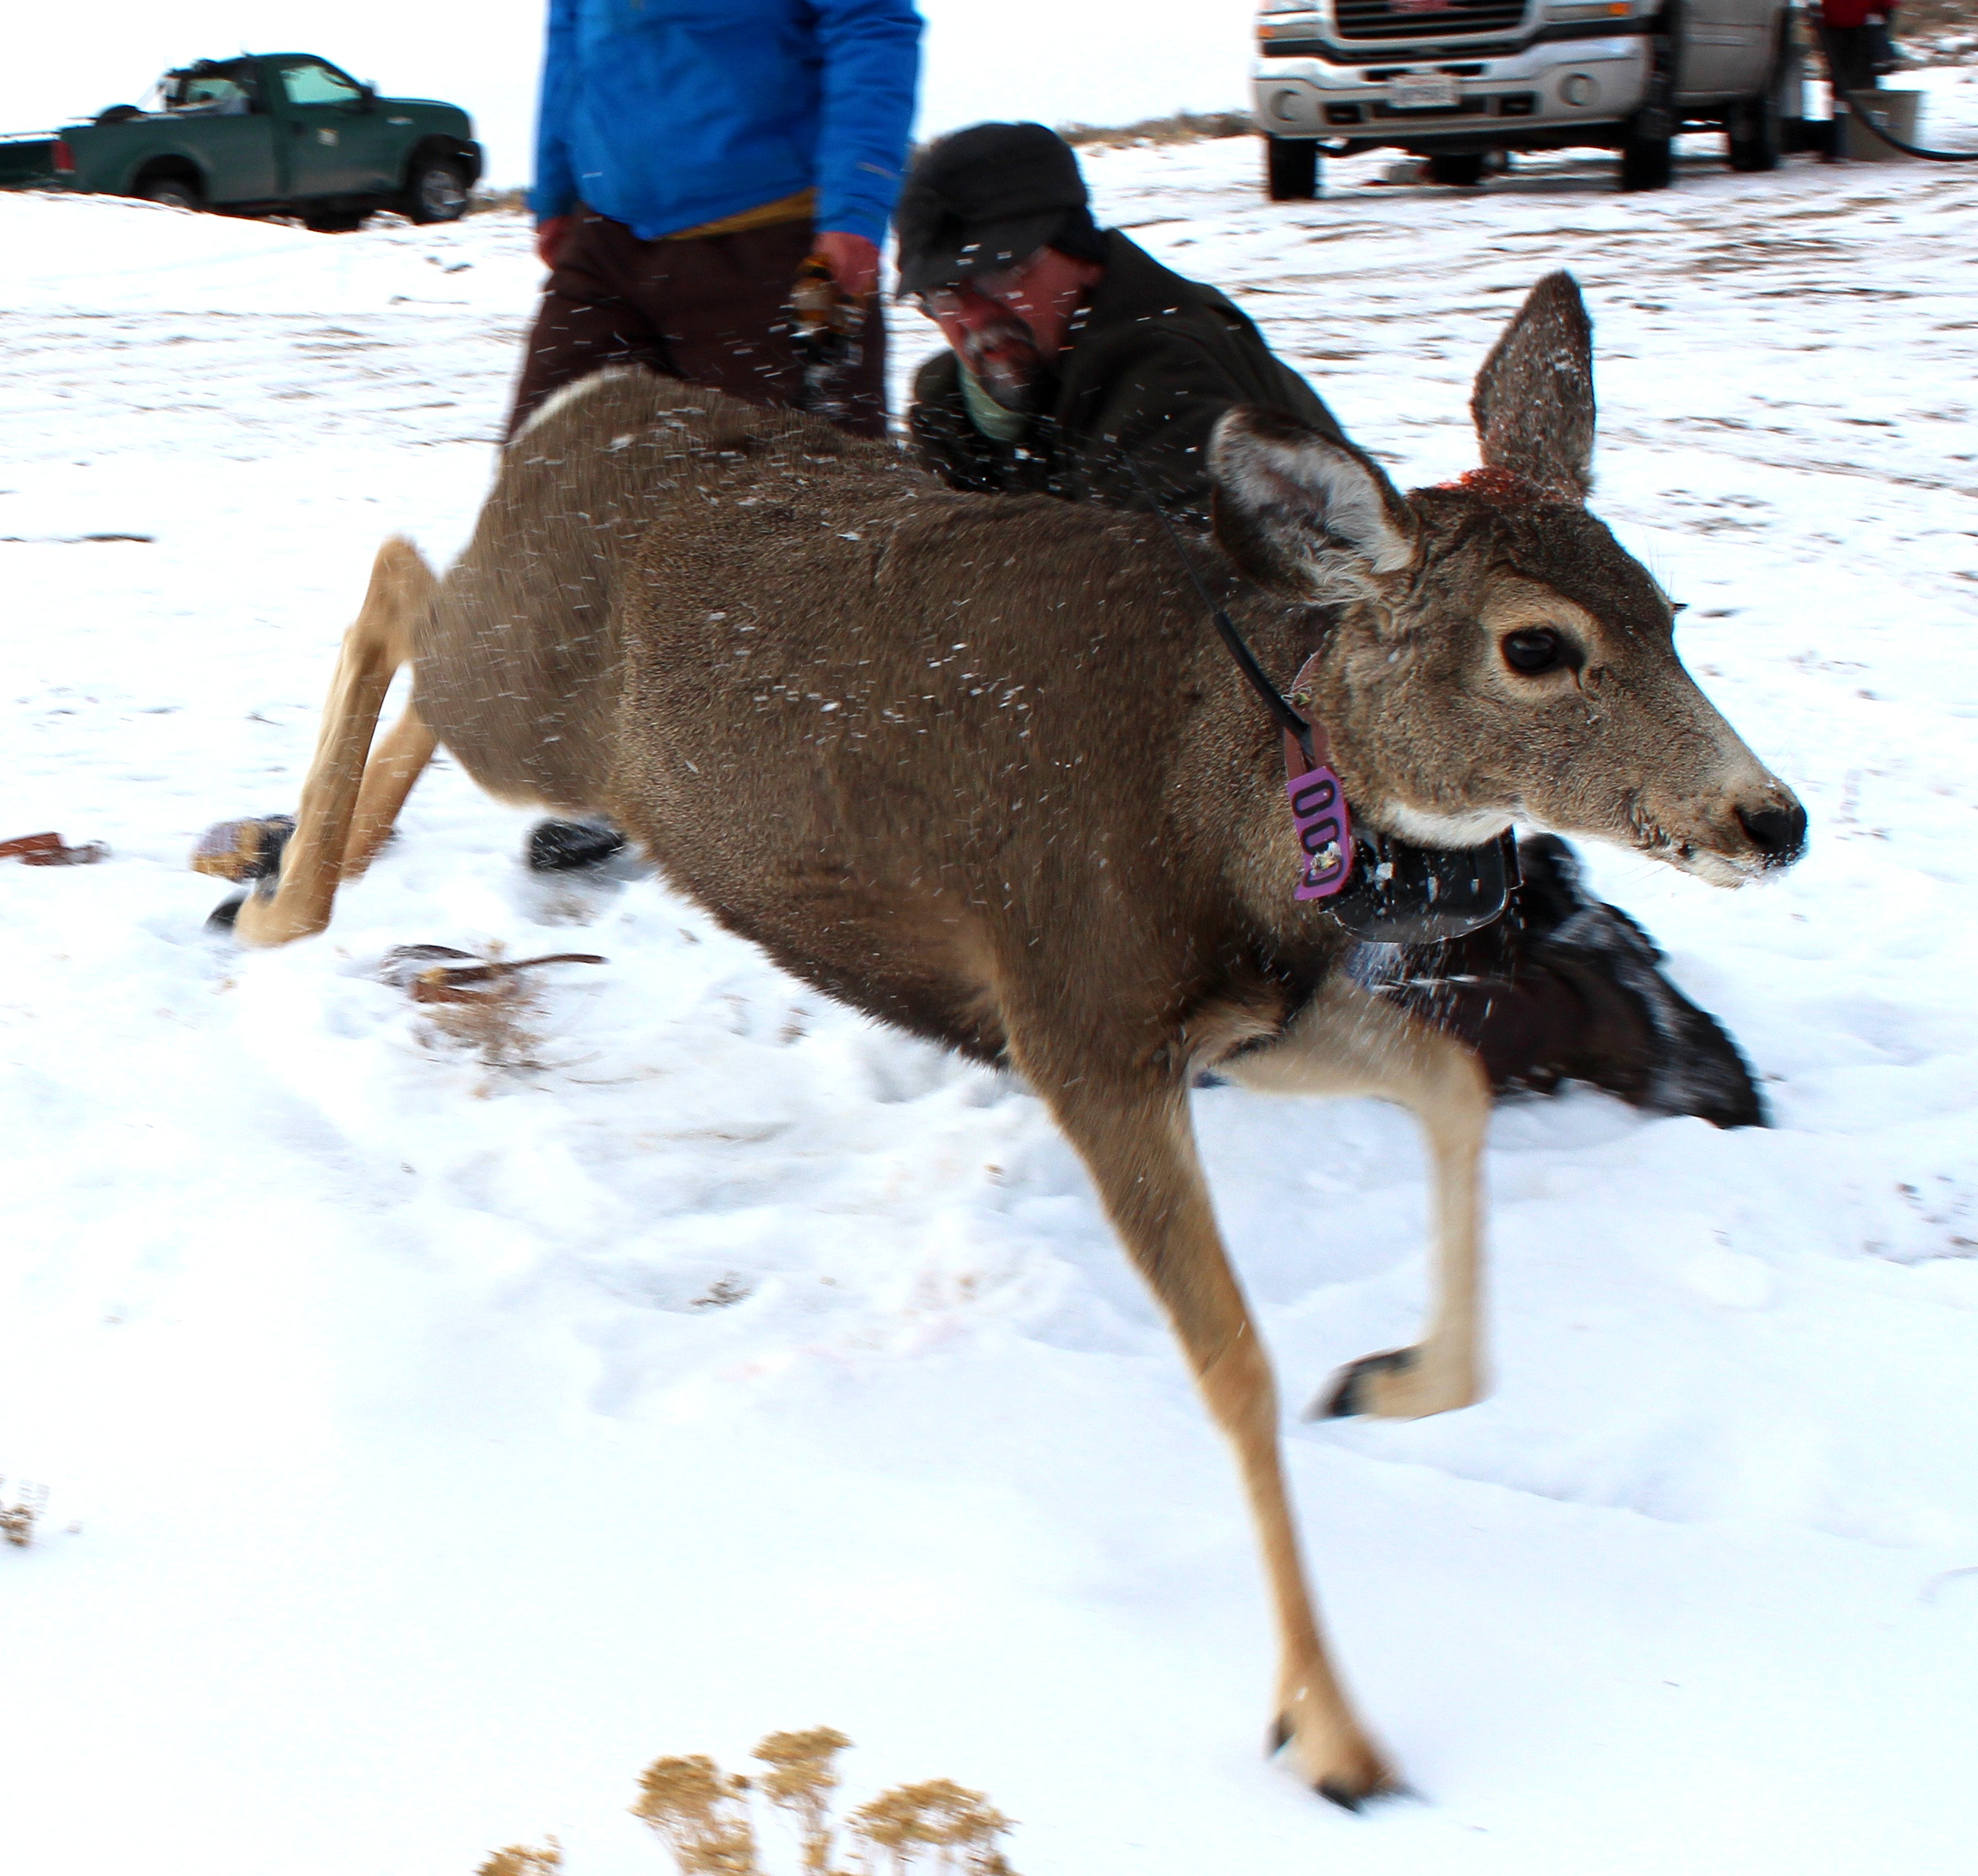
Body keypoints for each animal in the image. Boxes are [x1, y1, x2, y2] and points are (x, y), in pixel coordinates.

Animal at [213, 279, 1812, 1804]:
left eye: (1668, 607)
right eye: (1538, 644)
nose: (1771, 816)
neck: (1235, 799)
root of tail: (587, 406)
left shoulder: (1242, 1021)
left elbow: (1458, 1083)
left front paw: (1390, 1375)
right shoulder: (1074, 1012)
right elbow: (1231, 1359)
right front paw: (1333, 1730)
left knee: (410, 621)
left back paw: (293, 872)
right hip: (528, 701)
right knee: (396, 581)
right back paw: (283, 900)